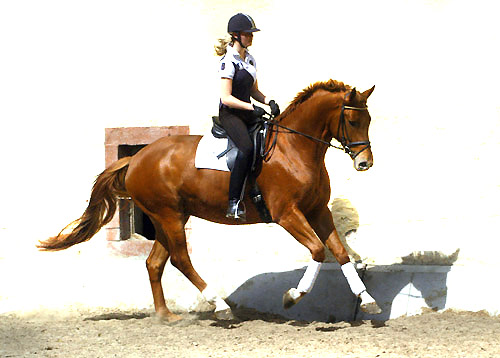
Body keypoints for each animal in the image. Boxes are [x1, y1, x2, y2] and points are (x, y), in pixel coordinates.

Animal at [39, 80, 380, 322]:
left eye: (369, 120)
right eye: (352, 121)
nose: (365, 163)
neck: (294, 149)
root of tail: (136, 158)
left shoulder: (317, 210)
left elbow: (340, 253)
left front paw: (368, 300)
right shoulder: (287, 214)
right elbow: (318, 250)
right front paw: (293, 296)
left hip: (171, 216)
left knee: (155, 262)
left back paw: (166, 316)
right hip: (168, 215)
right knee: (180, 259)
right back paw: (219, 305)